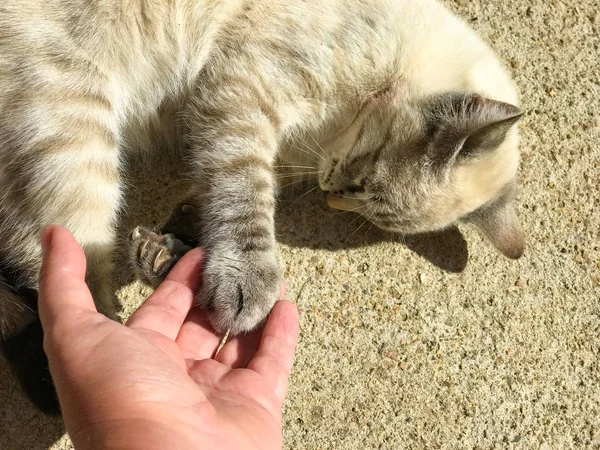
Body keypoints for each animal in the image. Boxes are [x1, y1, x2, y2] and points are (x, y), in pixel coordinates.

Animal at [0, 0, 524, 414]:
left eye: (361, 208)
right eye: (360, 185)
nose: (331, 196)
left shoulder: (265, 146)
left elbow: (205, 203)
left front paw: (172, 253)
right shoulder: (244, 98)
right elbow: (244, 198)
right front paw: (245, 282)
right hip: (74, 136)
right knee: (63, 281)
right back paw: (105, 348)